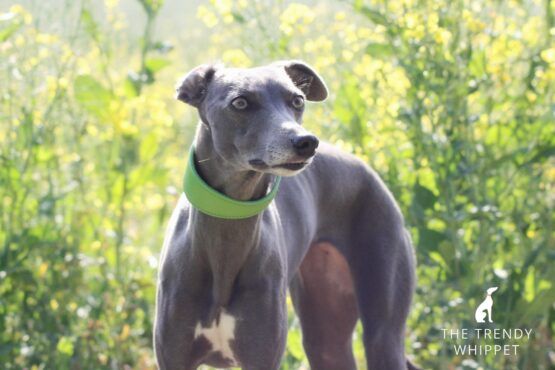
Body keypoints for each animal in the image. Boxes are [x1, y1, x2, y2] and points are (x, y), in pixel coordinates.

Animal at [154, 60, 420, 370]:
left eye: (297, 100)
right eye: (240, 102)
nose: (307, 142)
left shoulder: (262, 357)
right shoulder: (174, 357)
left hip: (381, 331)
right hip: (326, 334)